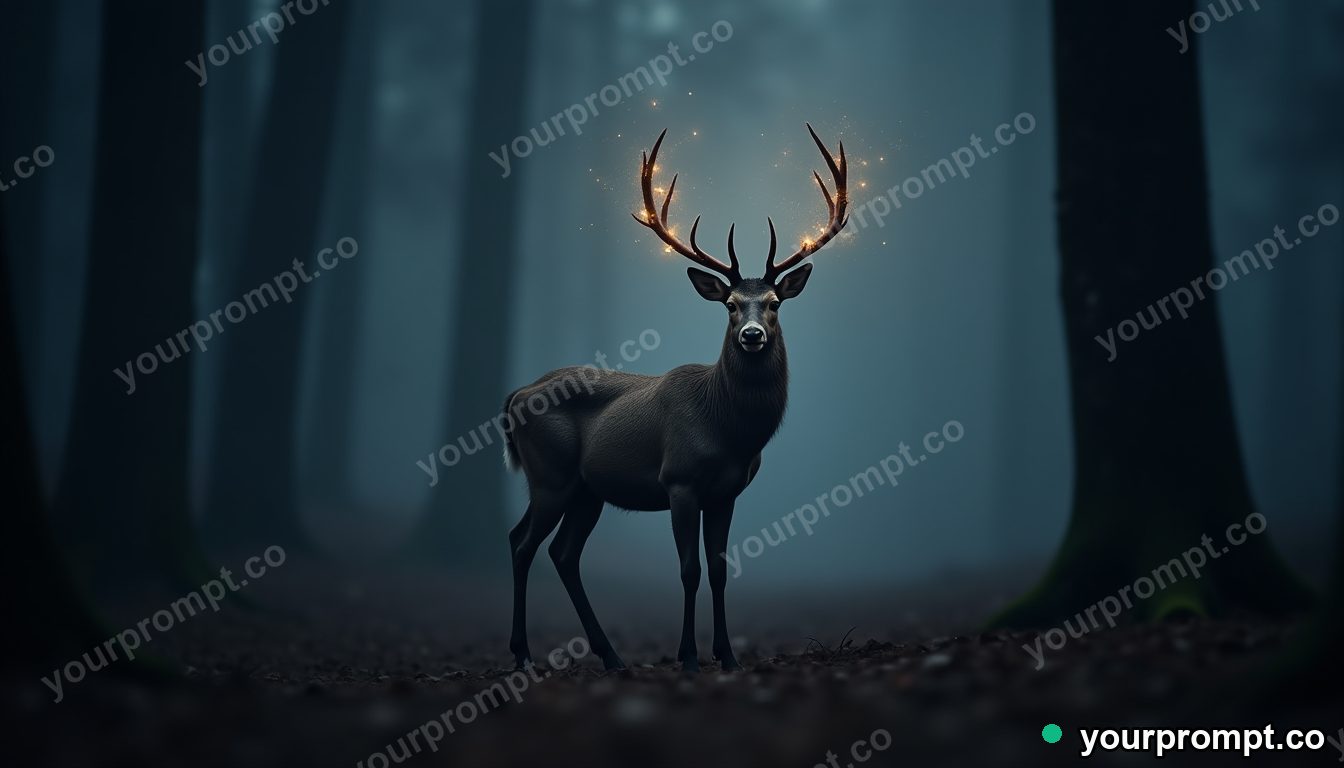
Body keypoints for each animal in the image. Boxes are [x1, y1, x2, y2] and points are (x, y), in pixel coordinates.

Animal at [503, 124, 848, 673]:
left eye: (774, 303)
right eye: (730, 305)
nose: (752, 335)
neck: (727, 431)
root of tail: (517, 394)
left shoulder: (727, 492)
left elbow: (720, 569)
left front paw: (727, 657)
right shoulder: (679, 480)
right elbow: (688, 570)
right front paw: (688, 657)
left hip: (586, 490)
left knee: (563, 553)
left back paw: (611, 656)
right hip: (550, 475)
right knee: (522, 544)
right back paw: (522, 656)